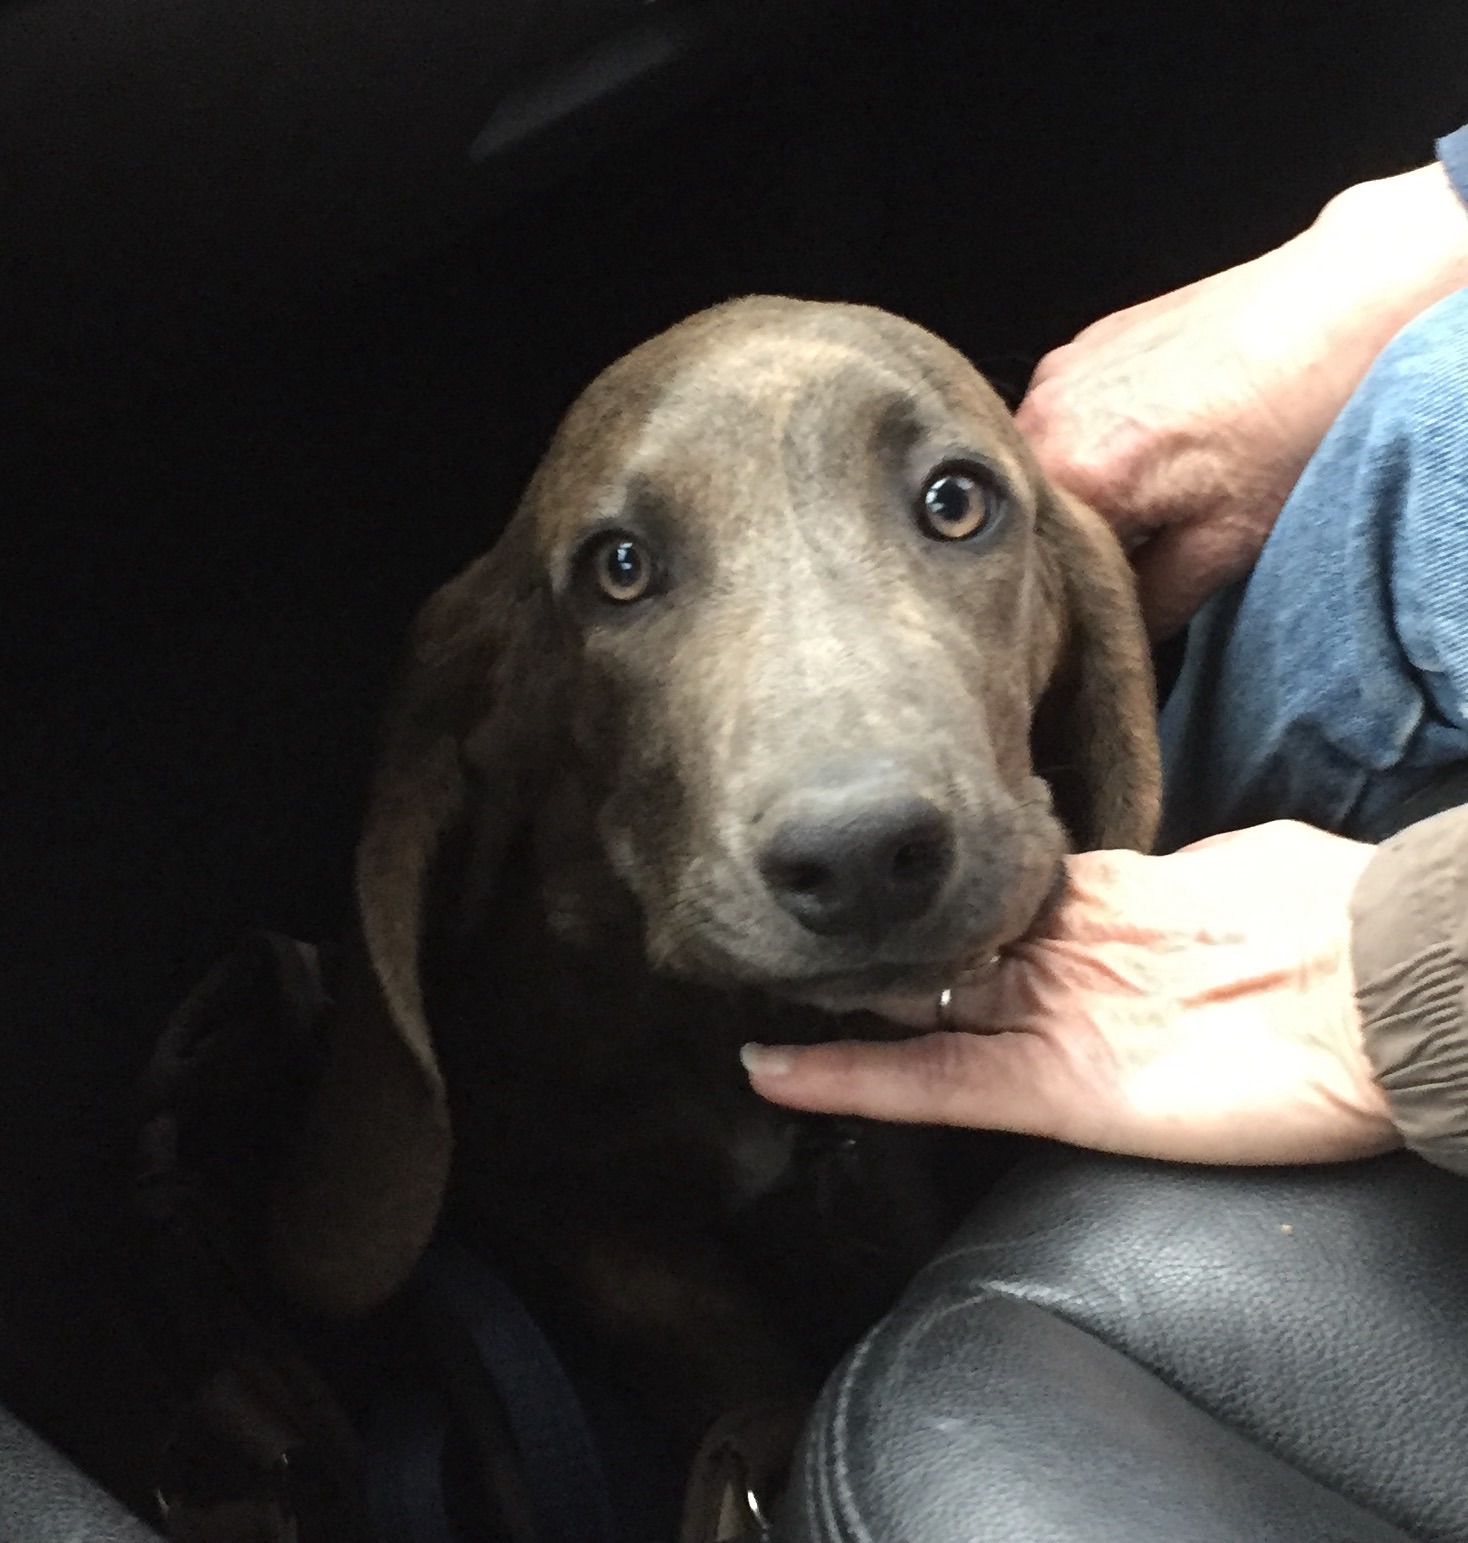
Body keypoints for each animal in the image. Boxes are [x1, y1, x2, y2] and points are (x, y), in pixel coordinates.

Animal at [266, 295, 1160, 1513]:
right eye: (620, 568)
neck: (725, 1034)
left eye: (957, 501)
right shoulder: (571, 1204)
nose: (863, 853)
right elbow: (717, 1347)